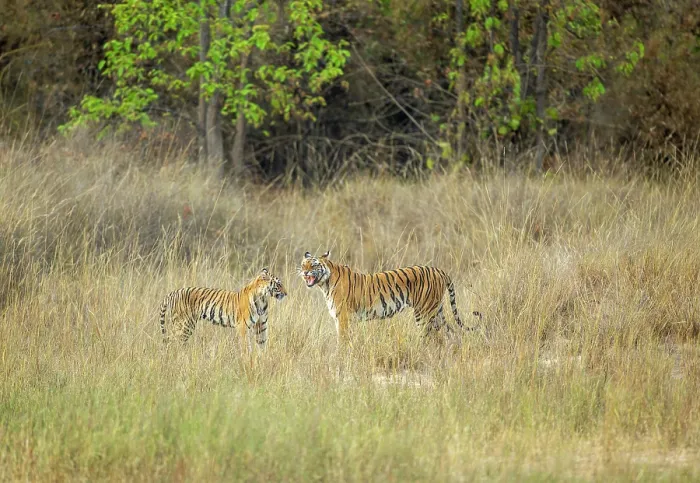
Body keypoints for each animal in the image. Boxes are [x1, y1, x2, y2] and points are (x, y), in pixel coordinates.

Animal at [299, 251, 481, 343]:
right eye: (303, 264)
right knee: (449, 332)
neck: (324, 284)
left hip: (424, 312)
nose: (305, 272)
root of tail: (440, 271)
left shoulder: (343, 317)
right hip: (437, 310)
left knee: (430, 336)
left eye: (313, 265)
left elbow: (342, 341)